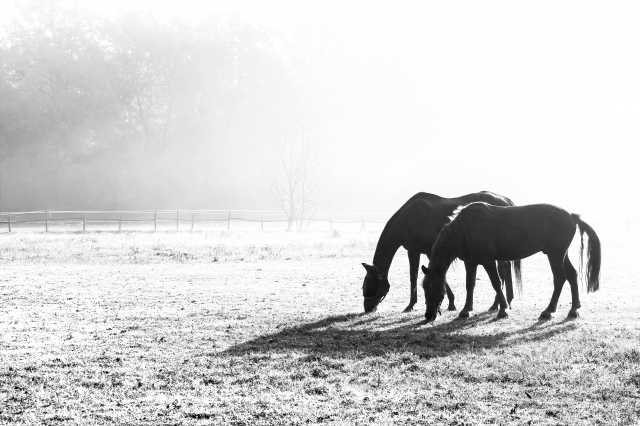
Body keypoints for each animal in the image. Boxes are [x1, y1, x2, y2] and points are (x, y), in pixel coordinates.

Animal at [361, 191, 522, 313]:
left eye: (370, 287)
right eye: (364, 287)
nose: (367, 308)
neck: (409, 219)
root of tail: (505, 201)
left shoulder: (417, 251)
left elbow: (415, 277)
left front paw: (412, 305)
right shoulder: (423, 252)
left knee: (503, 271)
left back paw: (499, 303)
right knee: (504, 270)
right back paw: (502, 302)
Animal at [421, 202, 601, 322]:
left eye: (436, 290)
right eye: (424, 288)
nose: (428, 315)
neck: (465, 229)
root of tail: (571, 216)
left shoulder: (488, 261)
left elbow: (496, 283)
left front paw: (503, 310)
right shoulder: (471, 263)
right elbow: (470, 285)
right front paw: (466, 310)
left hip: (555, 255)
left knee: (560, 278)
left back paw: (548, 311)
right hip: (560, 255)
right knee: (572, 275)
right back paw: (574, 309)